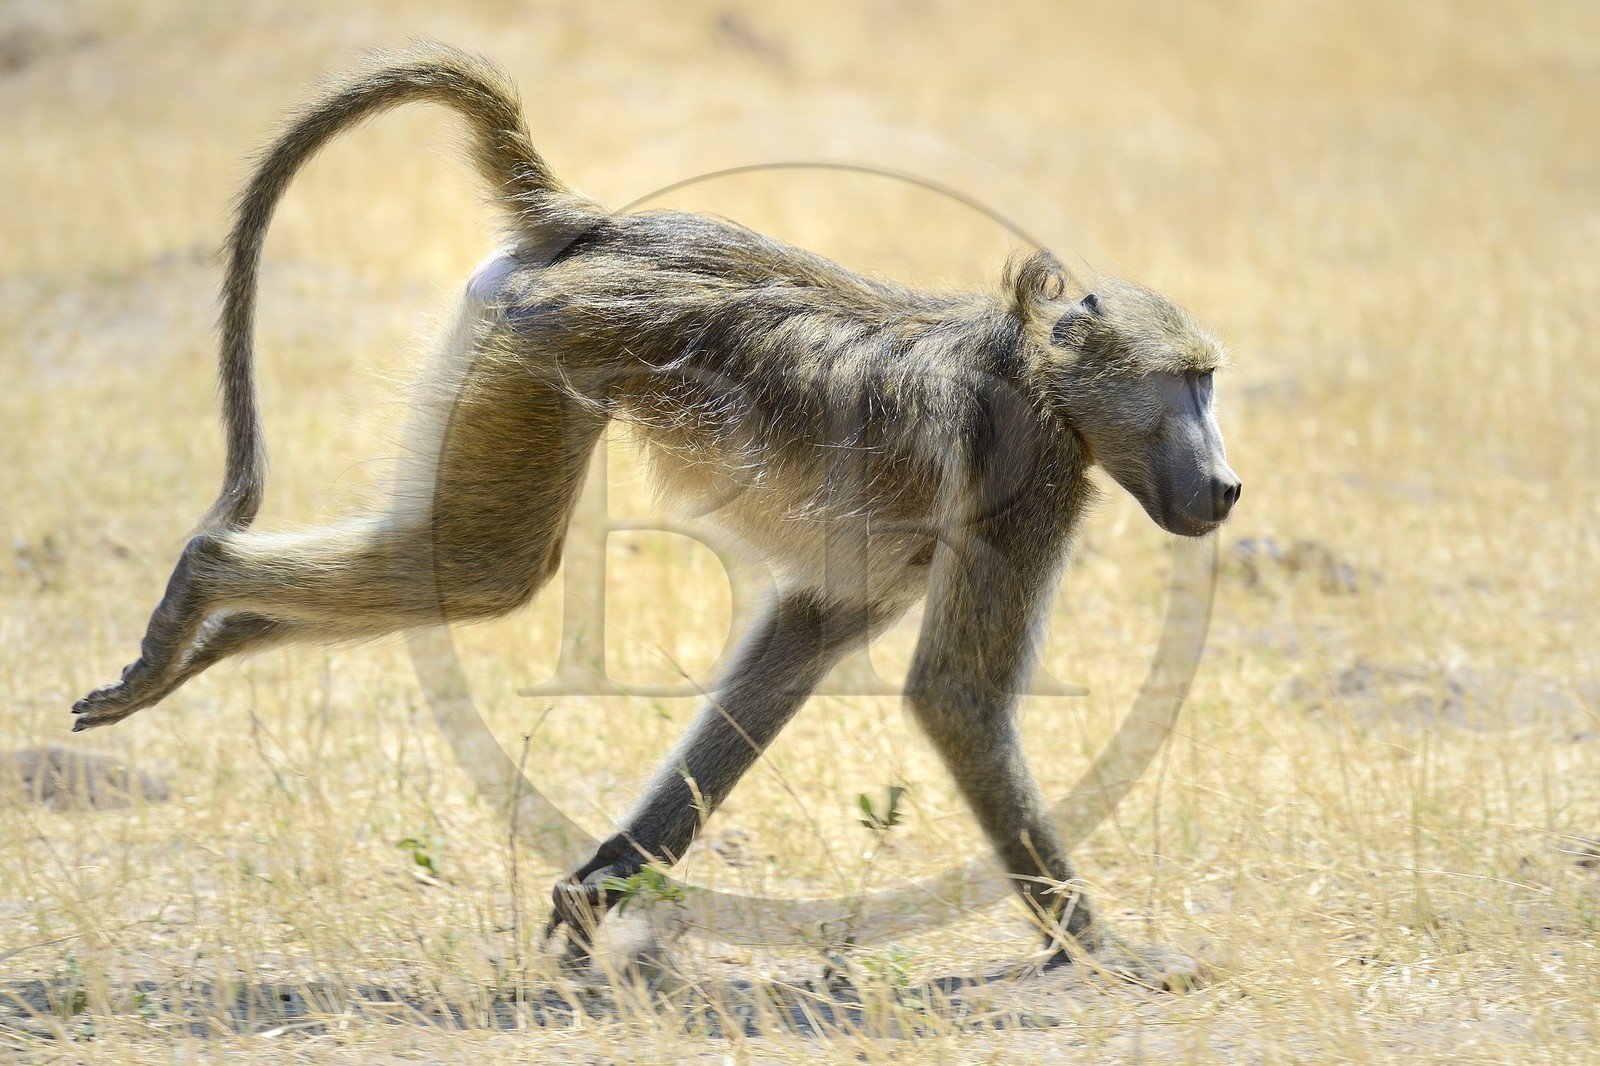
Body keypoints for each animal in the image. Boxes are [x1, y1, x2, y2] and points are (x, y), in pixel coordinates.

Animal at [71, 43, 1241, 987]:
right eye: (1187, 382)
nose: (1228, 486)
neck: (1041, 371)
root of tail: (601, 227)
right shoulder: (1031, 475)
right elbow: (954, 693)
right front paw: (1108, 951)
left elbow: (802, 640)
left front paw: (601, 890)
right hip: (537, 352)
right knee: (489, 567)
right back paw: (198, 586)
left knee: (469, 565)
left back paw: (214, 639)